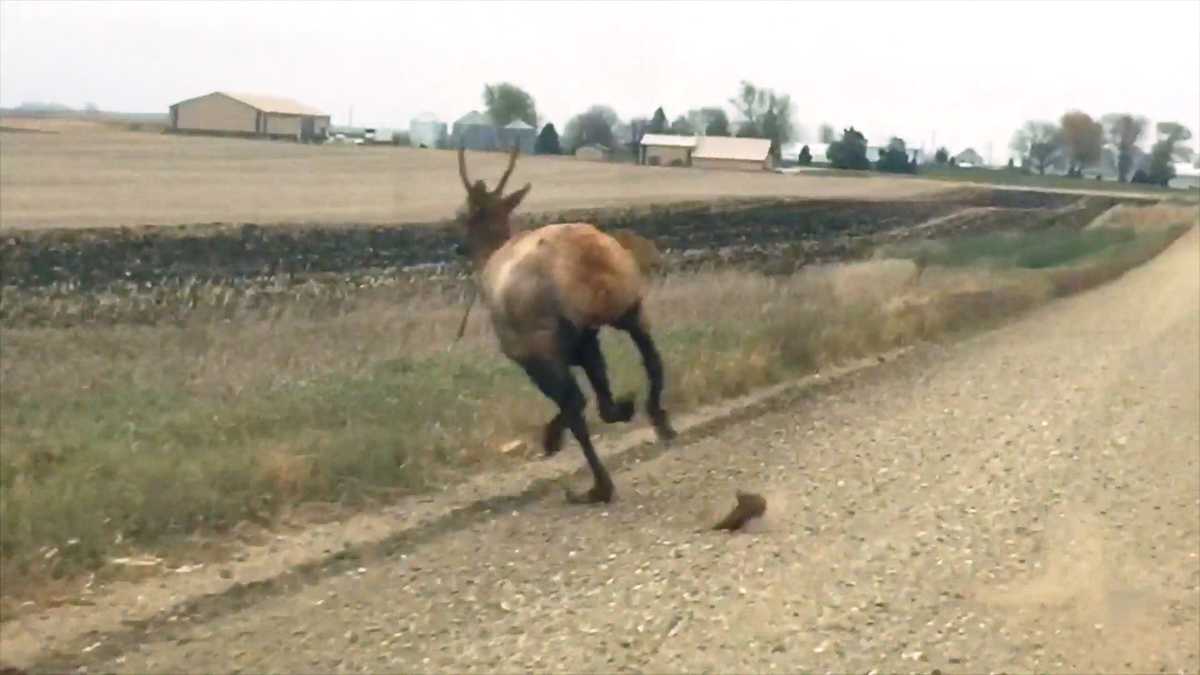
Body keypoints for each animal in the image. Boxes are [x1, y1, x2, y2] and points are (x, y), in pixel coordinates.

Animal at [455, 144, 676, 504]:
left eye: (462, 215)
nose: (457, 245)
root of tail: (591, 267)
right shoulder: (585, 340)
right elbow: (603, 400)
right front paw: (622, 407)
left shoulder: (529, 354)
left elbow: (576, 402)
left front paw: (550, 438)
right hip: (630, 305)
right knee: (653, 360)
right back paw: (660, 421)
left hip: (543, 337)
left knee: (575, 405)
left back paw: (599, 486)